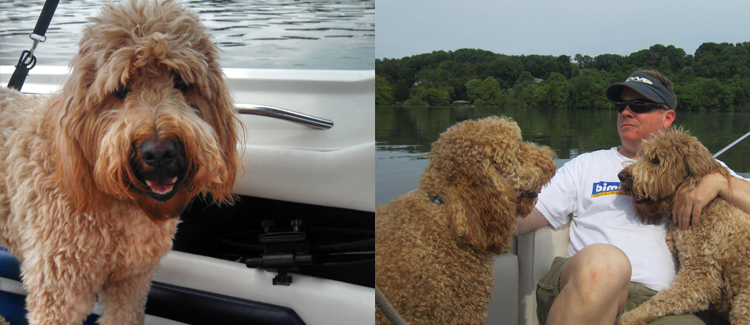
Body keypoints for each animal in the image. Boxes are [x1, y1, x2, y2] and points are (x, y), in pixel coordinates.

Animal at [620, 128, 750, 322]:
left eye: (655, 160)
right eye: (642, 154)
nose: (621, 176)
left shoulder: (700, 277)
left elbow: (659, 302)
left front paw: (629, 317)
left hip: (743, 305)